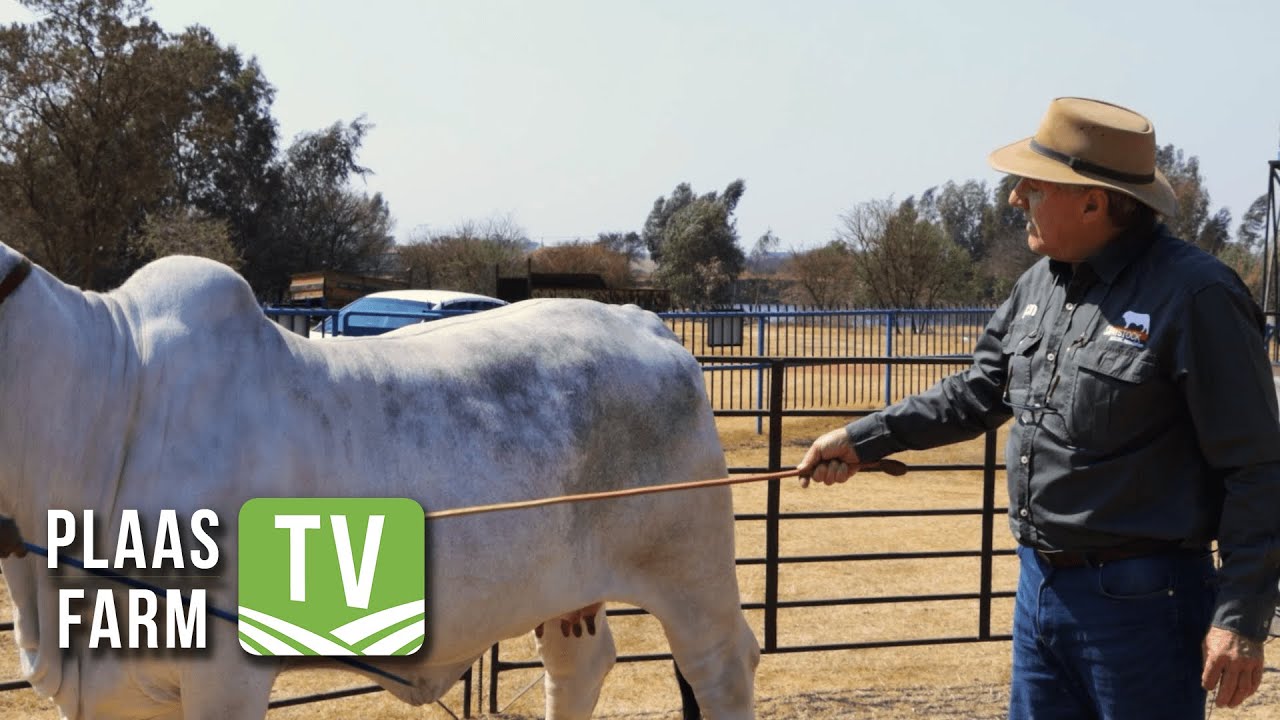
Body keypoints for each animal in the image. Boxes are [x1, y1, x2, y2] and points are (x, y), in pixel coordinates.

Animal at [0, 243, 760, 719]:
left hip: (692, 569)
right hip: (568, 594)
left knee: (721, 668)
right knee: (579, 670)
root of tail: (646, 322)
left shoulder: (225, 673)